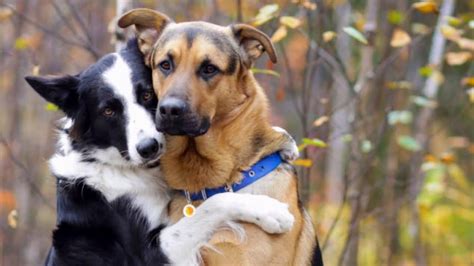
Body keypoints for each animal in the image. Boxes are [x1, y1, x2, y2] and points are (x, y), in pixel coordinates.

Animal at [25, 40, 296, 266]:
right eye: (108, 111)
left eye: (147, 95)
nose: (149, 148)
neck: (122, 169)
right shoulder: (153, 254)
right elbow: (213, 203)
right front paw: (270, 211)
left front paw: (284, 140)